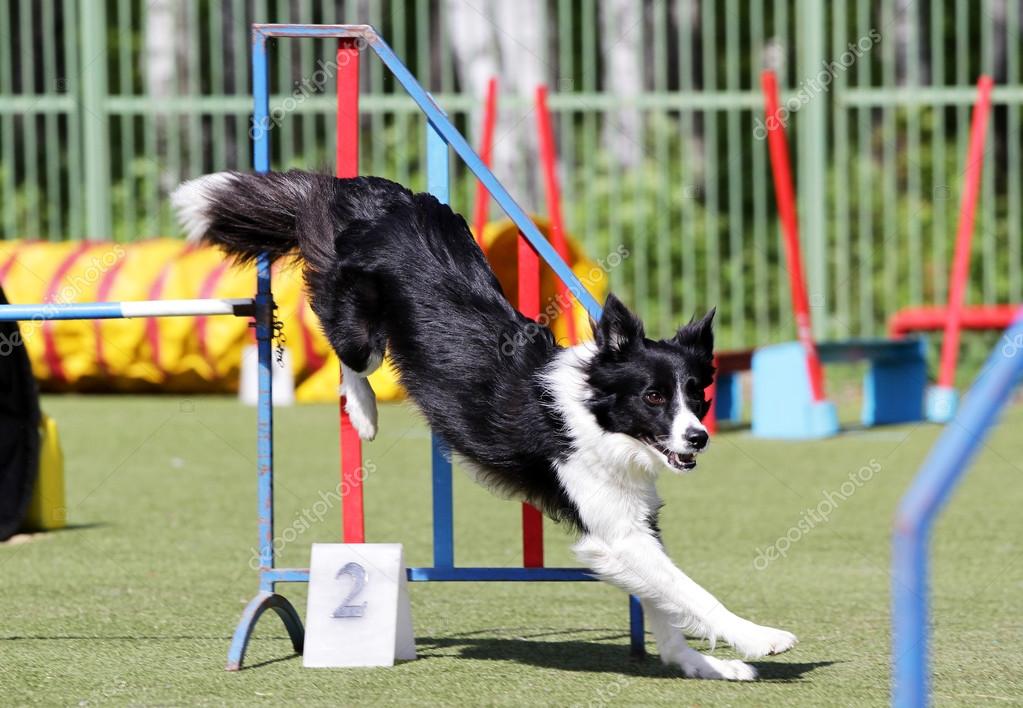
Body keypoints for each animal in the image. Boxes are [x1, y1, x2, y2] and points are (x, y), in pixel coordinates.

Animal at [173, 171, 797, 679]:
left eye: (699, 396)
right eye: (653, 396)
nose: (698, 438)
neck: (595, 413)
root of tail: (373, 192)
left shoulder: (631, 525)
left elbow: (665, 602)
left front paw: (701, 665)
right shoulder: (614, 533)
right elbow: (689, 590)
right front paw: (759, 638)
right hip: (359, 322)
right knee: (345, 348)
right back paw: (365, 412)